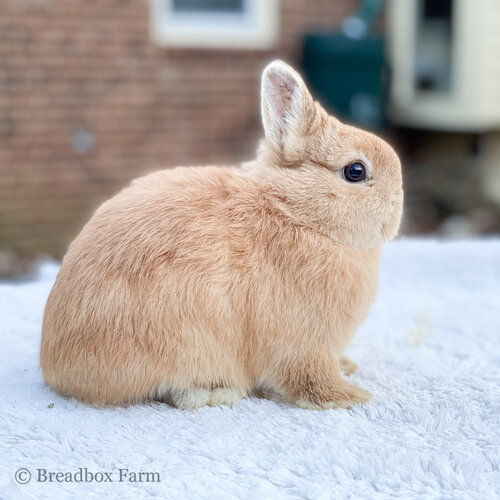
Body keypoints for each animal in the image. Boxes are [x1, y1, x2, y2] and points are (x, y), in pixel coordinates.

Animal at [41, 59, 404, 410]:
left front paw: (348, 367)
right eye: (355, 171)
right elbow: (310, 381)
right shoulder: (304, 346)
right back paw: (216, 393)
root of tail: (54, 365)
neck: (295, 212)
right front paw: (351, 396)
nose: (398, 207)